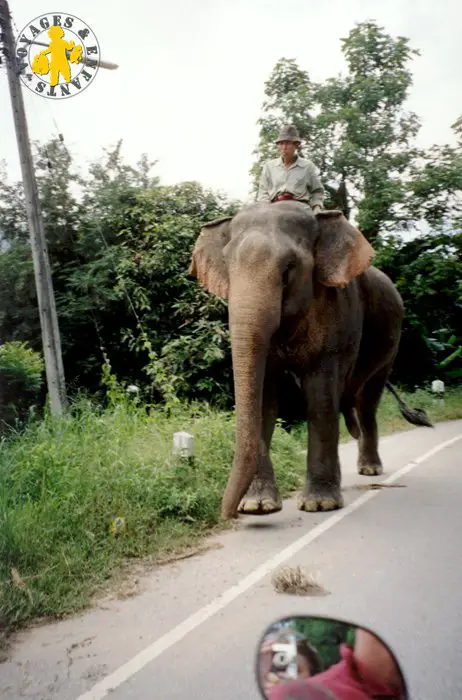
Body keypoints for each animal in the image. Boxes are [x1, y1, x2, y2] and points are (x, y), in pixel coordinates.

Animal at [189, 201, 434, 520]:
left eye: (288, 269)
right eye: (228, 269)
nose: (228, 515)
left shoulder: (337, 313)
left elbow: (320, 397)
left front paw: (320, 505)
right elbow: (265, 399)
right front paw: (258, 507)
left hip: (391, 341)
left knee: (368, 400)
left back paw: (369, 470)